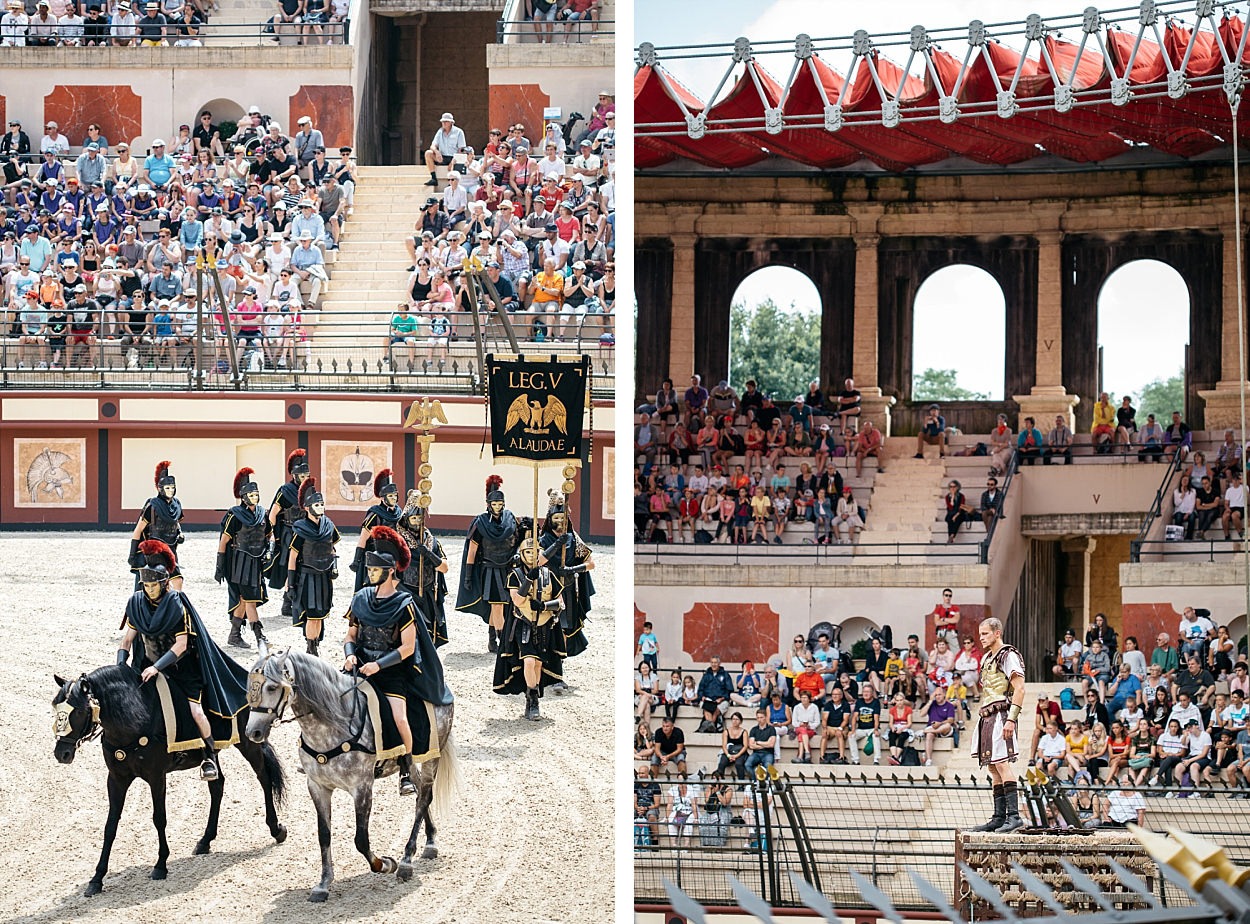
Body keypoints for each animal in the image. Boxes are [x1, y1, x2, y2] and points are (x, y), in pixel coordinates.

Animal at [52, 665, 286, 895]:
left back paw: (276, 829)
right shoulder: (117, 779)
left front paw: (160, 865)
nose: (62, 754)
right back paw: (205, 840)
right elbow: (110, 826)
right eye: (56, 707)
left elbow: (159, 819)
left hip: (249, 741)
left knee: (264, 778)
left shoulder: (156, 777)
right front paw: (97, 878)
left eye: (79, 710)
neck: (133, 715)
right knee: (217, 785)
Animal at [243, 650, 460, 905]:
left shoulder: (362, 788)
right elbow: (324, 835)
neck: (332, 724)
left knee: (424, 797)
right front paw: (323, 884)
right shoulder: (317, 786)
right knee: (418, 791)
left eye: (271, 687)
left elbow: (361, 840)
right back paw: (430, 840)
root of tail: (443, 691)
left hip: (431, 757)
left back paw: (407, 860)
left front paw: (385, 864)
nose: (252, 732)